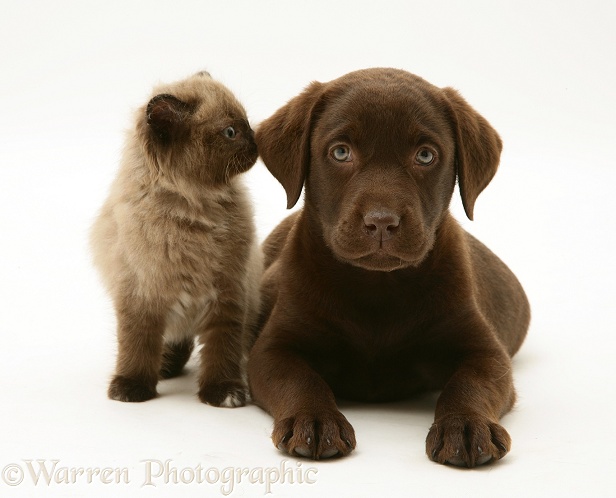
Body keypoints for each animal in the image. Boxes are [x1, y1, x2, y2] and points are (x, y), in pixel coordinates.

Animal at [91, 72, 262, 406]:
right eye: (231, 132)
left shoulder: (228, 296)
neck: (192, 217)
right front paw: (131, 387)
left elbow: (222, 350)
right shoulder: (141, 295)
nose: (256, 139)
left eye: (246, 123)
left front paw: (224, 392)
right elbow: (137, 345)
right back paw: (164, 367)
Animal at [248, 69, 532, 466]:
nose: (381, 221)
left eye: (425, 155)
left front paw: (466, 426)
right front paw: (315, 421)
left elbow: (470, 384)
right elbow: (300, 380)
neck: (378, 287)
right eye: (340, 152)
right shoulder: (273, 349)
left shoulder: (487, 352)